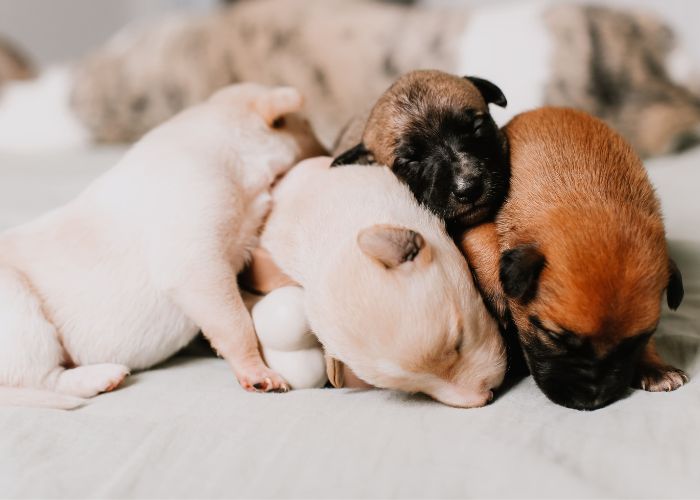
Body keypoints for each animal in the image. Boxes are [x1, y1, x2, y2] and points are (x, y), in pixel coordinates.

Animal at [0, 82, 326, 408]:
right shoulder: (196, 262)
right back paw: (100, 376)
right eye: (309, 128)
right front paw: (257, 373)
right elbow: (236, 323)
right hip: (20, 309)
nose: (331, 153)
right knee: (42, 378)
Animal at [462, 105, 688, 410]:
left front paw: (655, 366)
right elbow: (482, 235)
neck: (592, 192)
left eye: (637, 342)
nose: (592, 401)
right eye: (555, 337)